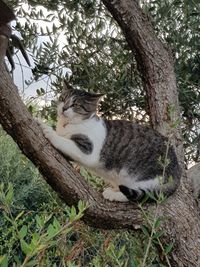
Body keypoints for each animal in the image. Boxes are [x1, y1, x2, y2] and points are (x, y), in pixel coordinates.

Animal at [38, 81, 181, 203]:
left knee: (143, 195)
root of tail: (177, 172)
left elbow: (64, 141)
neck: (66, 125)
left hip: (142, 176)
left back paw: (113, 194)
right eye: (63, 98)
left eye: (75, 105)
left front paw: (49, 131)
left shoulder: (88, 150)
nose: (64, 108)